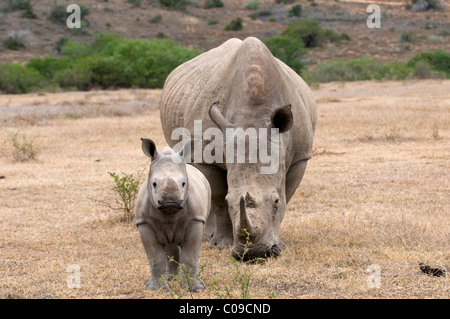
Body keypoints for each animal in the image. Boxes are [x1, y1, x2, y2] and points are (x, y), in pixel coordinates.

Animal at [135, 138, 211, 292]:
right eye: (154, 184)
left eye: (184, 183)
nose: (171, 201)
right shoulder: (144, 222)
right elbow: (155, 257)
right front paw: (155, 288)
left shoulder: (196, 220)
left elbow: (191, 255)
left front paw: (194, 288)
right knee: (170, 245)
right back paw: (171, 279)